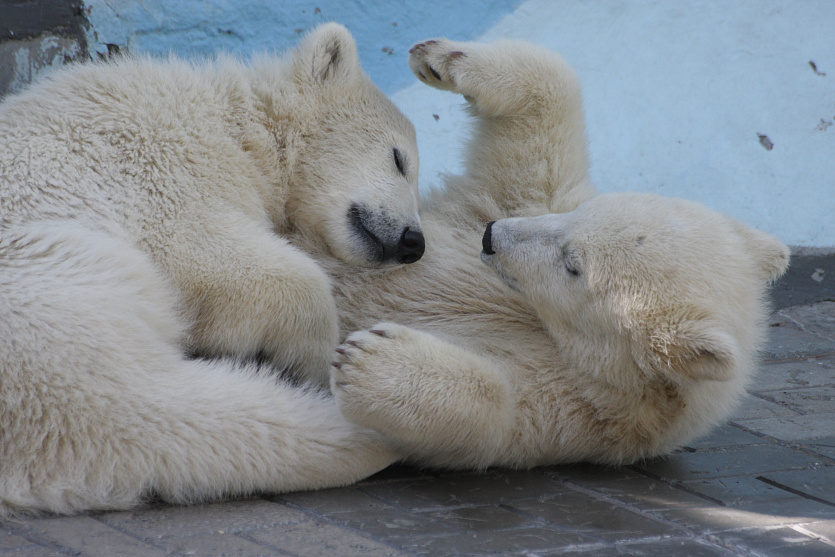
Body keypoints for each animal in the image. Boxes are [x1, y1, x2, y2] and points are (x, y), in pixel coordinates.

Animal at [0, 23, 418, 516]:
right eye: (399, 159)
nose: (414, 241)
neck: (239, 124)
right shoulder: (169, 165)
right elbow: (222, 261)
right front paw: (308, 359)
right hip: (51, 288)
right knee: (133, 408)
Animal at [324, 37, 792, 466]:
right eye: (579, 215)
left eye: (572, 266)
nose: (491, 237)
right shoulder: (521, 200)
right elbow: (542, 124)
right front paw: (442, 58)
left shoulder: (584, 405)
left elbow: (498, 409)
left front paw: (369, 360)